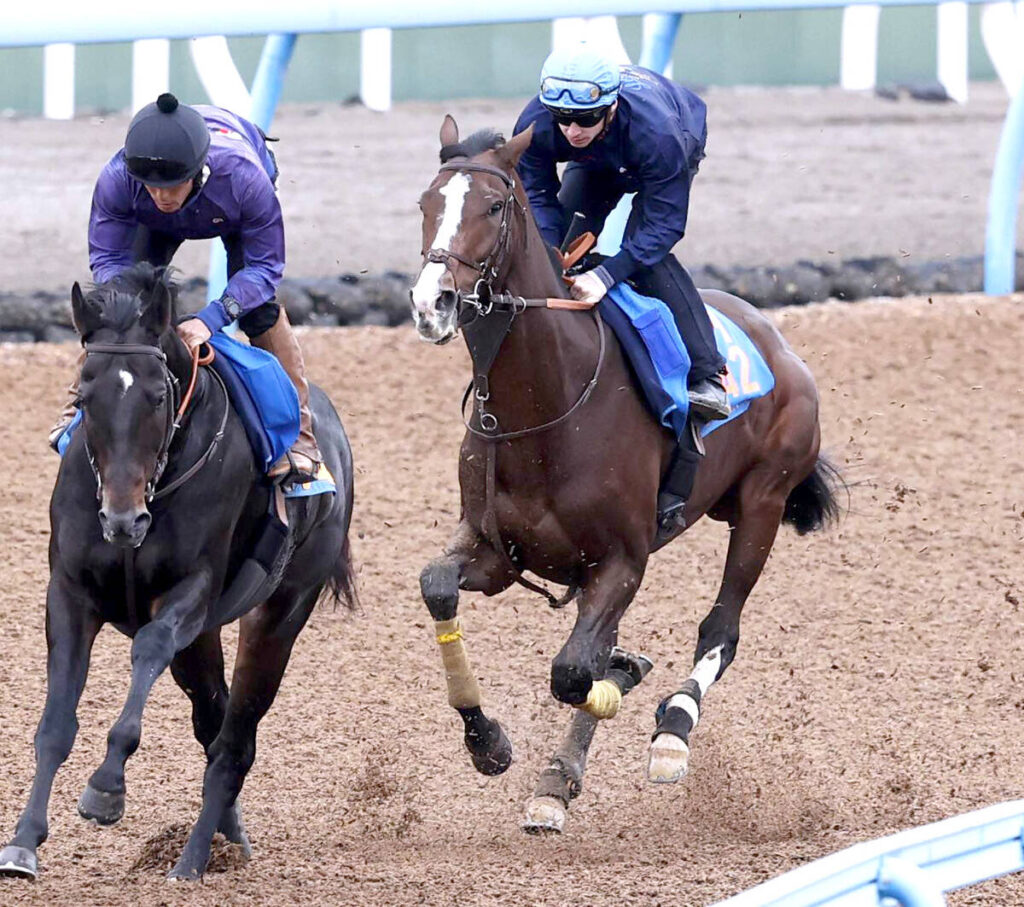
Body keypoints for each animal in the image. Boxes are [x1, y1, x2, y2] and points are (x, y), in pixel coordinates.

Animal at [0, 263, 356, 880]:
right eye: (84, 392)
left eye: (157, 394)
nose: (123, 519)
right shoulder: (69, 593)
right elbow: (55, 722)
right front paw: (23, 842)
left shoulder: (189, 593)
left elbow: (147, 648)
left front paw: (106, 789)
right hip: (203, 640)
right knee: (214, 723)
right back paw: (226, 839)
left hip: (279, 613)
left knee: (235, 742)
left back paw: (191, 862)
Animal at [409, 116, 842, 833]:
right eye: (425, 203)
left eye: (494, 207)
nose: (431, 303)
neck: (548, 406)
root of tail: (780, 344)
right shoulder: (497, 551)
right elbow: (438, 586)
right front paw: (488, 740)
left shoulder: (621, 561)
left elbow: (572, 672)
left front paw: (613, 700)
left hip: (763, 502)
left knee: (720, 629)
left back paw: (673, 729)